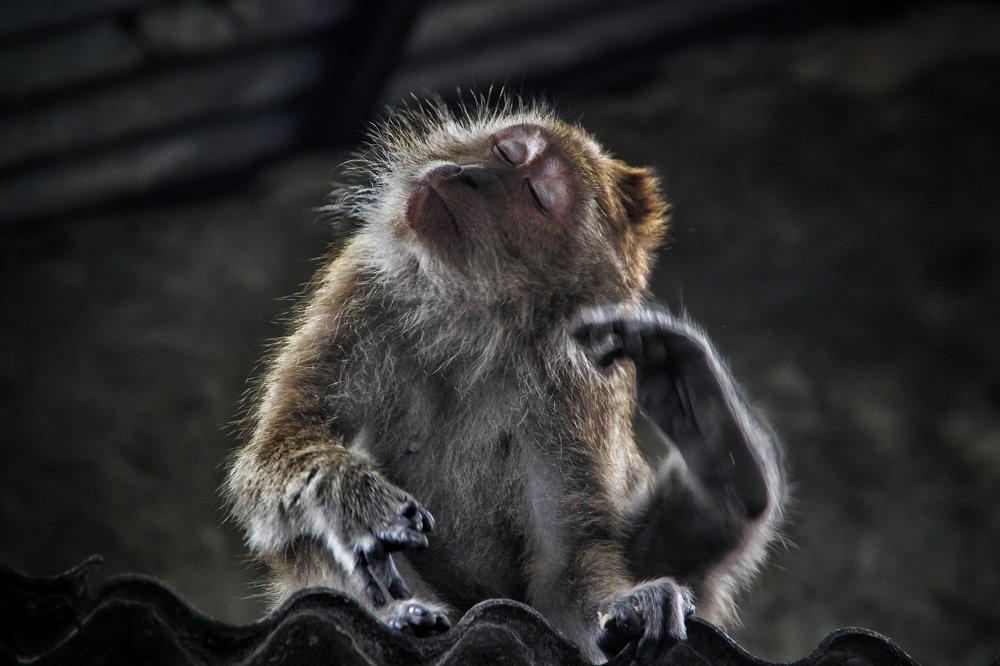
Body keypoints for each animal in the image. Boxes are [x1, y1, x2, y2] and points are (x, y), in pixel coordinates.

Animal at [225, 96, 786, 663]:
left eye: (535, 195)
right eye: (506, 151)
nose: (469, 176)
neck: (473, 323)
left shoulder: (579, 376)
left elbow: (565, 568)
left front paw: (627, 605)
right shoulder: (361, 290)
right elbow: (277, 450)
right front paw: (346, 501)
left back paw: (722, 451)